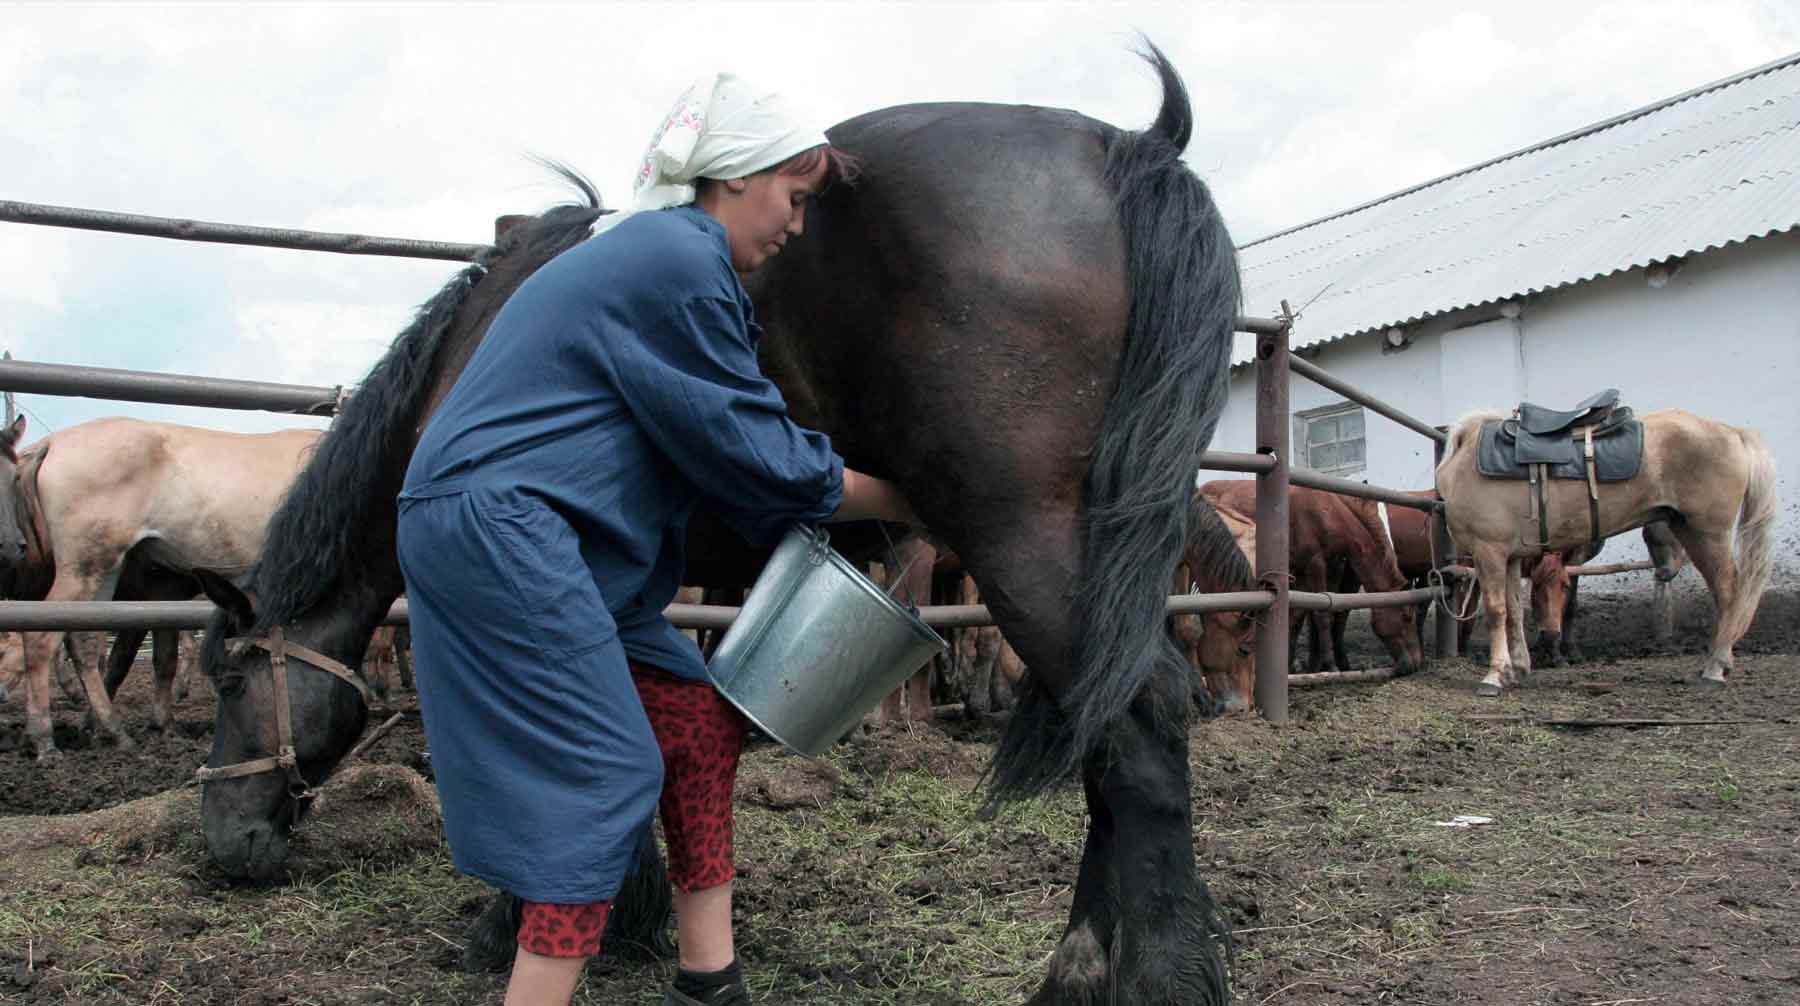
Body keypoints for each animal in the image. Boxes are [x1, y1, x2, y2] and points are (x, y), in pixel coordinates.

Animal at [0, 415, 320, 755]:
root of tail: (51, 444)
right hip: (85, 567)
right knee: (40, 641)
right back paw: (44, 738)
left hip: (104, 573)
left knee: (84, 644)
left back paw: (113, 731)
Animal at [1432, 404, 1771, 698]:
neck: (1462, 464)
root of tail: (1733, 433)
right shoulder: (1513, 557)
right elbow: (1514, 611)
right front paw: (1517, 669)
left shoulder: (1489, 551)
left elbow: (1496, 611)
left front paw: (1494, 675)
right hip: (1690, 531)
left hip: (1708, 534)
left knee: (1729, 594)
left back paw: (1715, 668)